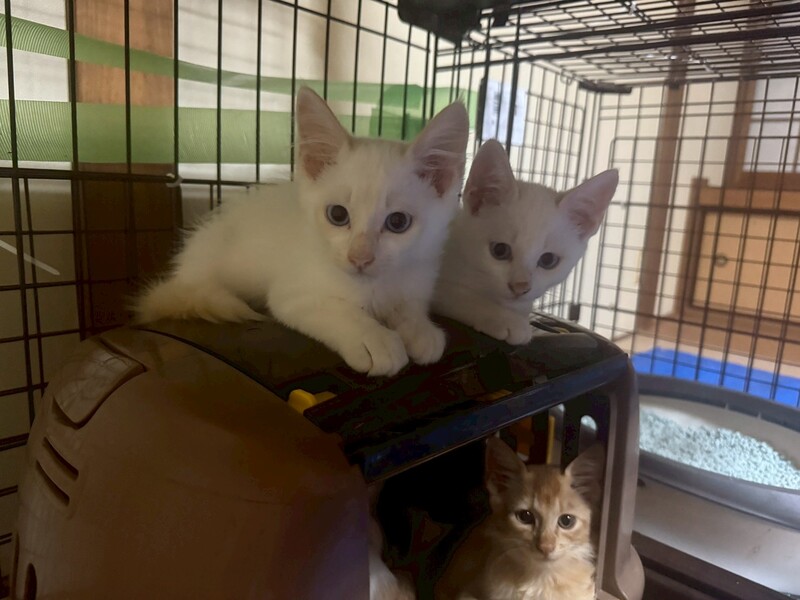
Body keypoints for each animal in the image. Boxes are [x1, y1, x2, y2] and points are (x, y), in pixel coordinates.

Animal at [134, 87, 469, 377]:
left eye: (398, 222)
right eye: (337, 215)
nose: (360, 258)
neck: (374, 287)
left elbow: (408, 307)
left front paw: (421, 330)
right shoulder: (291, 294)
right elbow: (337, 309)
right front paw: (374, 338)